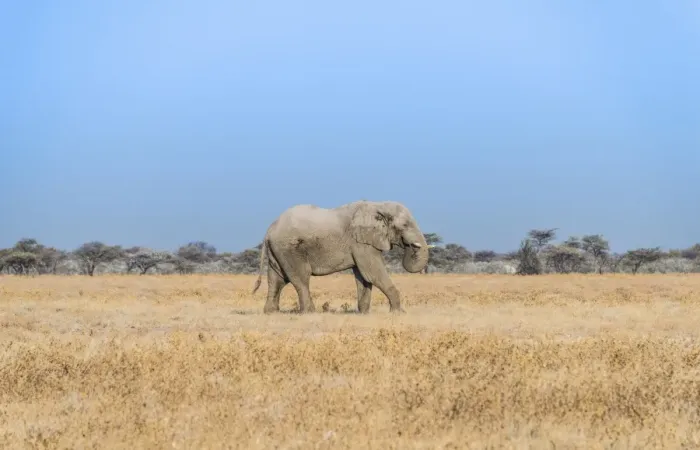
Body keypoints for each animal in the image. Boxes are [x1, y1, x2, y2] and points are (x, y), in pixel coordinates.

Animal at [251, 200, 430, 314]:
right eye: (405, 225)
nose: (411, 246)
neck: (378, 204)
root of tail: (270, 229)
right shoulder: (360, 242)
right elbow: (373, 273)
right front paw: (398, 313)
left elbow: (364, 277)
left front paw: (364, 313)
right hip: (289, 249)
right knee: (300, 278)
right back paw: (310, 312)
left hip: (278, 251)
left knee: (277, 279)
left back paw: (271, 312)